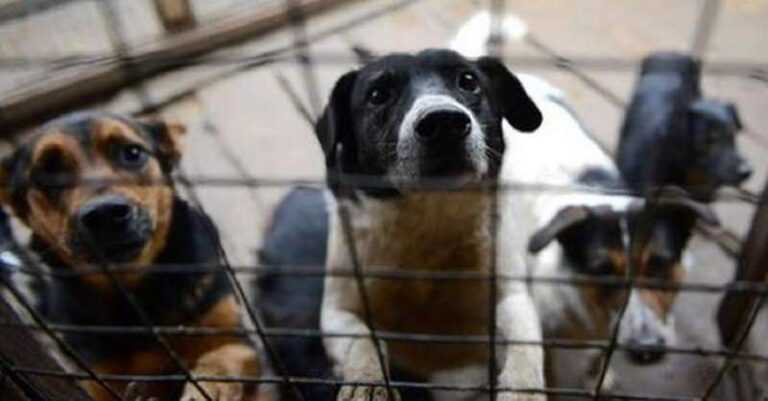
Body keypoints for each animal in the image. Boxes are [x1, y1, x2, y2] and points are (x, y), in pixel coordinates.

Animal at [0, 111, 264, 400]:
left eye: (133, 153)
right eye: (48, 173)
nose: (105, 214)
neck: (135, 293)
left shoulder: (238, 343)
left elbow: (220, 360)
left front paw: (205, 388)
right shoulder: (98, 376)